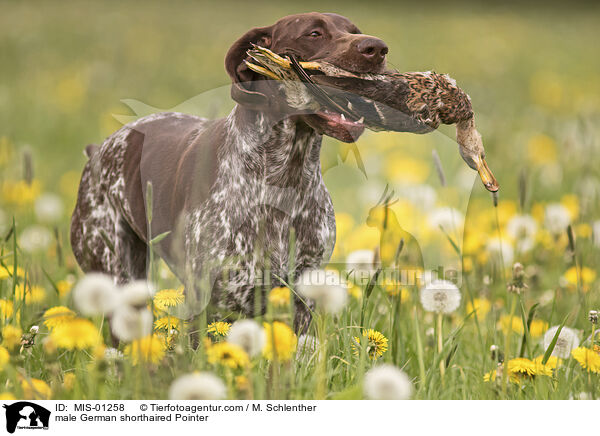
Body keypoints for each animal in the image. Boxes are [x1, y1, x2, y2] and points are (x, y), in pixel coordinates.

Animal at [70, 11, 390, 332]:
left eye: (355, 31)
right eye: (314, 33)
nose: (377, 48)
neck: (285, 176)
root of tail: (99, 149)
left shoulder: (300, 301)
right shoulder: (209, 302)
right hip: (116, 276)